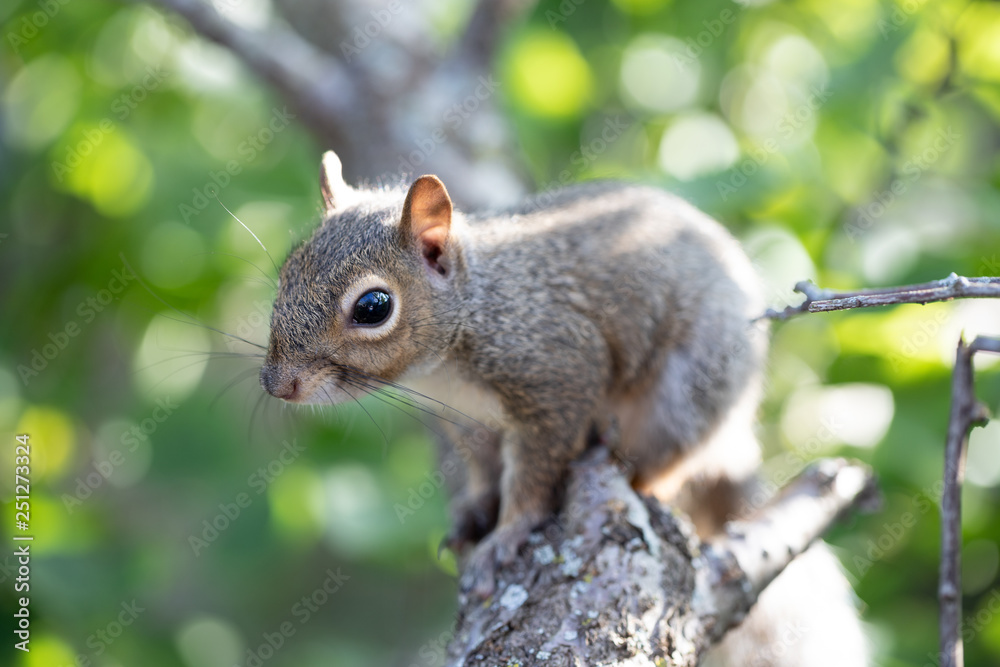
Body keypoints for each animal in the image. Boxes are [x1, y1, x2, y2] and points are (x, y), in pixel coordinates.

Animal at [260, 151, 869, 666]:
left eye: (373, 306)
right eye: (286, 275)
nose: (277, 385)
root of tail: (736, 437)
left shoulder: (559, 375)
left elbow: (534, 473)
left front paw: (507, 535)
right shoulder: (469, 423)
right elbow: (485, 473)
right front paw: (474, 514)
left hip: (686, 398)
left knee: (667, 462)